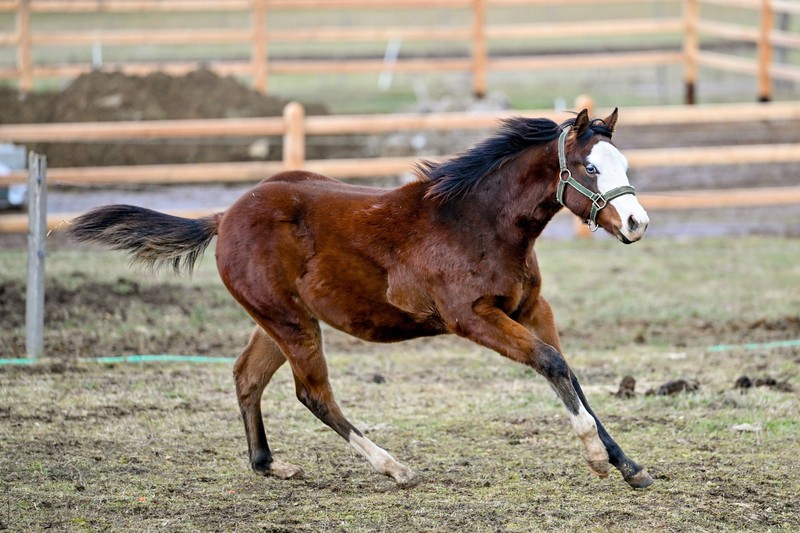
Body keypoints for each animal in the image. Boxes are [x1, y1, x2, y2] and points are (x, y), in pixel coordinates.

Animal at [69, 108, 652, 490]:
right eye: (592, 168)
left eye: (624, 164)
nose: (637, 223)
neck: (477, 221)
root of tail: (223, 216)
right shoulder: (473, 318)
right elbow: (551, 363)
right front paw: (596, 456)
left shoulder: (531, 309)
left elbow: (570, 372)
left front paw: (627, 466)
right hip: (292, 323)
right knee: (313, 395)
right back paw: (394, 467)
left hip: (278, 321)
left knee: (246, 377)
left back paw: (270, 464)